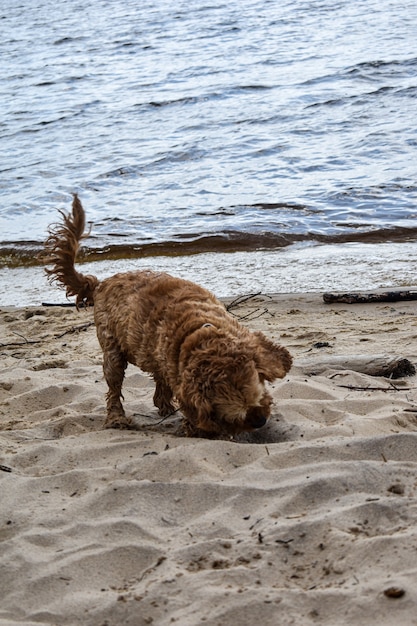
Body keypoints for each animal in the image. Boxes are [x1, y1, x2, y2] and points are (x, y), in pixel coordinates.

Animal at [44, 195, 290, 434]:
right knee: (114, 388)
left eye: (258, 393)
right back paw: (117, 418)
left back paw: (162, 405)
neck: (199, 331)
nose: (260, 421)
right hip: (112, 351)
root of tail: (100, 284)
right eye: (232, 414)